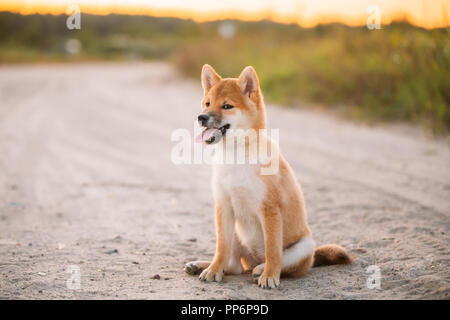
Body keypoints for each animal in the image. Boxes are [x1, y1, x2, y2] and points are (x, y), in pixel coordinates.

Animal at [185, 63, 354, 288]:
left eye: (227, 106)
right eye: (207, 103)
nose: (201, 117)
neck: (237, 157)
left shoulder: (269, 209)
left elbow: (273, 251)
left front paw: (270, 276)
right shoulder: (224, 207)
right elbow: (221, 249)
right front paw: (213, 270)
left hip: (304, 246)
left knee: (281, 262)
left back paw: (261, 270)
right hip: (237, 232)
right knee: (233, 266)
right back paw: (201, 265)